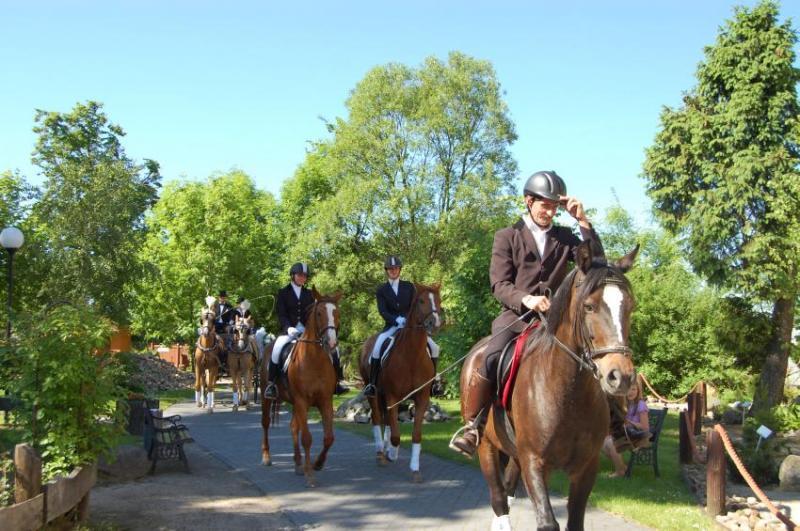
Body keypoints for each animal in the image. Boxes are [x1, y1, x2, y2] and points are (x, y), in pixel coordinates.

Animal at [260, 288, 340, 488]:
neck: (314, 360)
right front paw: (310, 474)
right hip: (268, 397)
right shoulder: (302, 401)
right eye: (319, 313)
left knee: (293, 427)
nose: (331, 343)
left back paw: (297, 463)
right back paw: (267, 457)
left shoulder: (325, 401)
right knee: (265, 423)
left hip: (295, 403)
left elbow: (329, 438)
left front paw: (317, 464)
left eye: (337, 313)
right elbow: (307, 438)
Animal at [358, 284, 440, 484]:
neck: (412, 355)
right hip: (374, 393)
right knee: (377, 419)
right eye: (421, 301)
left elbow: (416, 434)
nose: (434, 322)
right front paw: (392, 454)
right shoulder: (392, 396)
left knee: (387, 421)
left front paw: (415, 469)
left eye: (438, 300)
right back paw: (381, 453)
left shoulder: (421, 398)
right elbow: (396, 436)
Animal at [460, 242, 640, 531]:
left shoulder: (586, 467)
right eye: (589, 307)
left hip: (514, 453)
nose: (620, 376)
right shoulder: (534, 461)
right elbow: (547, 522)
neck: (569, 394)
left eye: (630, 307)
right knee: (499, 500)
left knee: (507, 492)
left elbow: (574, 522)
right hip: (487, 446)